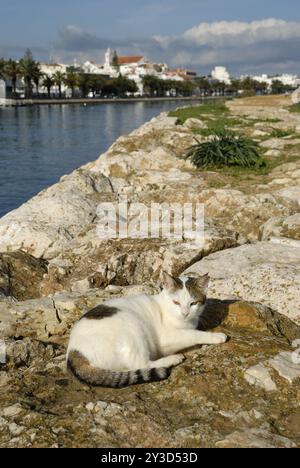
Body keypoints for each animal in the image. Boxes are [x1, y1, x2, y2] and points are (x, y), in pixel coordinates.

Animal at [67, 270, 227, 388]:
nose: (185, 313)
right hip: (132, 326)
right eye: (176, 302)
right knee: (141, 364)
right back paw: (173, 358)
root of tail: (73, 352)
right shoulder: (166, 339)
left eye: (193, 303)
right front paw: (216, 336)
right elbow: (193, 334)